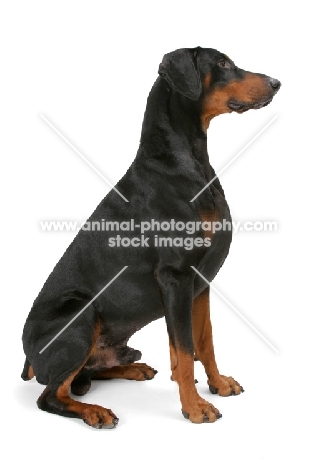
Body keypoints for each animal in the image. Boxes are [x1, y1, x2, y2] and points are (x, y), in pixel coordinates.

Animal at [22, 47, 280, 428]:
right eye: (221, 63)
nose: (277, 83)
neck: (186, 161)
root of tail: (26, 357)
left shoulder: (200, 283)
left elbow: (204, 342)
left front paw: (218, 384)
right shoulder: (175, 277)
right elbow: (184, 352)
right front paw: (194, 407)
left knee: (85, 374)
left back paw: (134, 369)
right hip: (79, 315)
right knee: (51, 395)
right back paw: (95, 412)